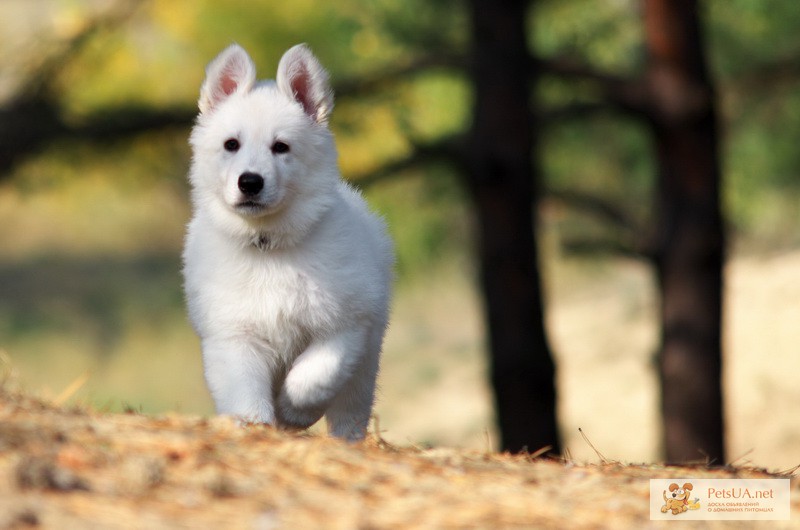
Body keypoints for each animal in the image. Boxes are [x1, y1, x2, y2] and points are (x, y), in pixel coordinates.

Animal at [182, 43, 394, 440]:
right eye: (231, 145)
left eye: (281, 147)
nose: (250, 182)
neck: (269, 246)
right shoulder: (235, 335)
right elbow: (246, 392)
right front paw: (256, 425)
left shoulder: (345, 326)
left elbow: (314, 375)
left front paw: (293, 413)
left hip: (365, 364)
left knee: (350, 410)